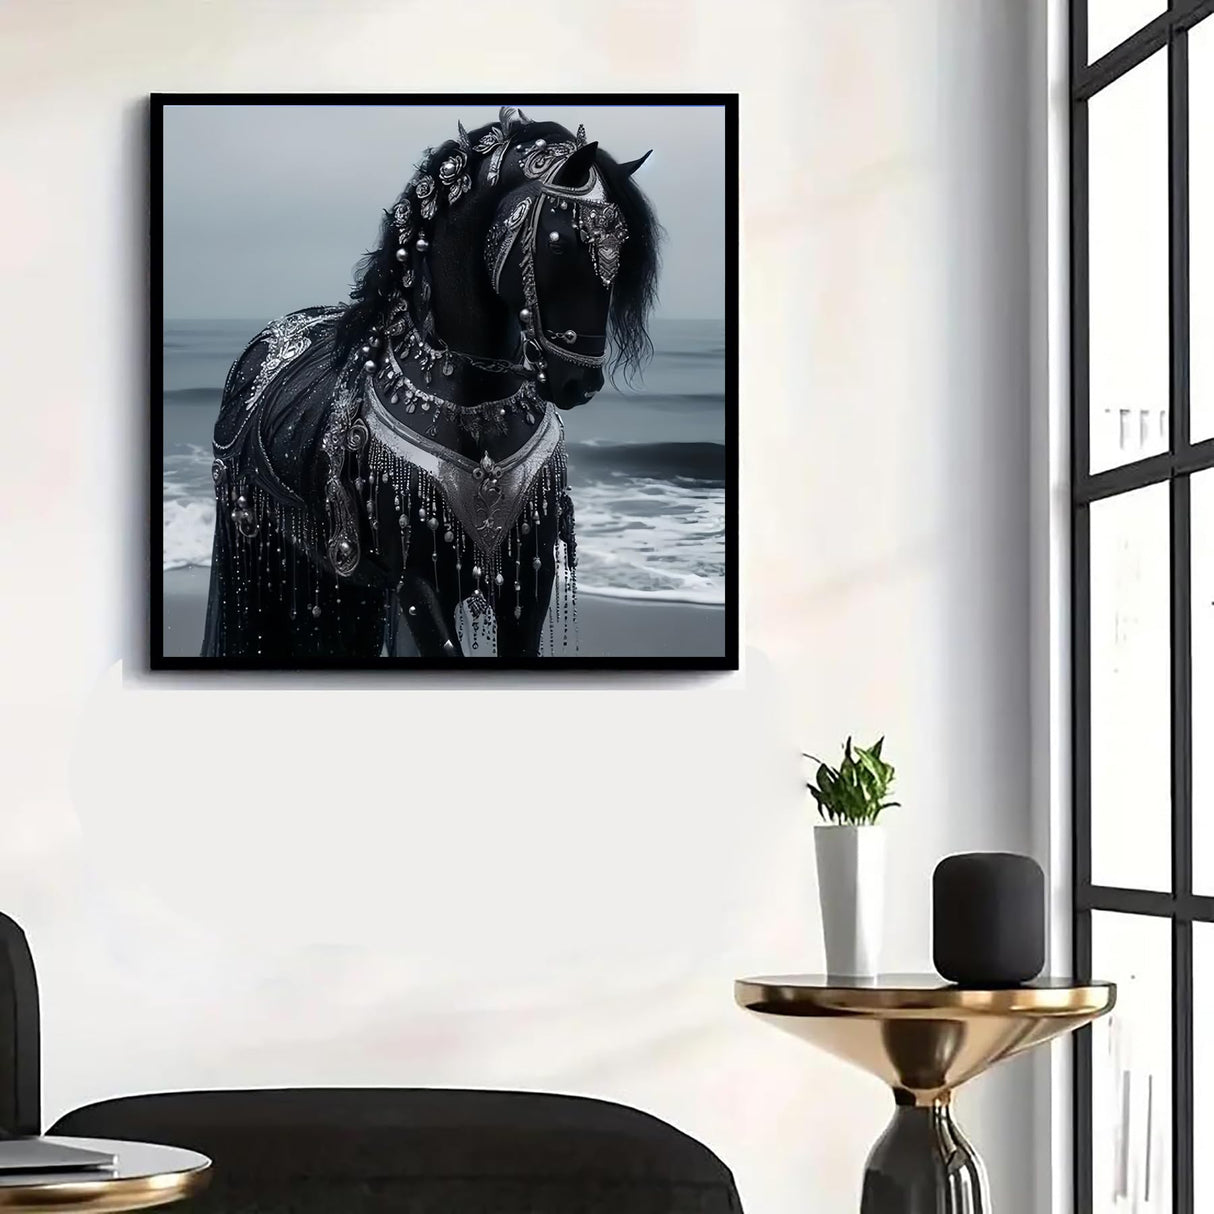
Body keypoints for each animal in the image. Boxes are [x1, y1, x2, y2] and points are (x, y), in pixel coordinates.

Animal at [199, 107, 660, 660]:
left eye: (623, 248)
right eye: (562, 243)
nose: (581, 382)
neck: (475, 402)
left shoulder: (529, 574)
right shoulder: (418, 582)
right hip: (255, 550)